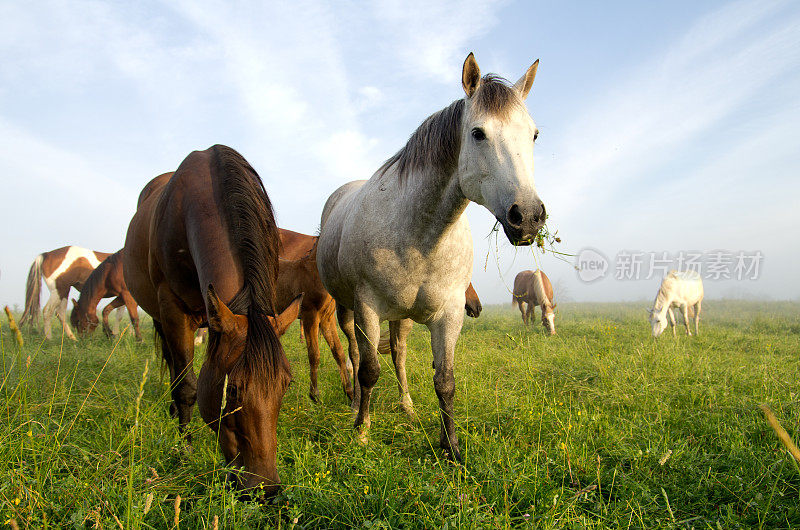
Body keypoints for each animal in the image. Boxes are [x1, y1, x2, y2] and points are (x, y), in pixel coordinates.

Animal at [126, 146, 296, 492]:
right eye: (232, 391)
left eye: (286, 385)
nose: (265, 489)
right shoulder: (173, 309)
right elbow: (186, 387)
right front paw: (185, 451)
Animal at [278, 227, 354, 400]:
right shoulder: (310, 316)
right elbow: (314, 353)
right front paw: (314, 394)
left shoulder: (327, 319)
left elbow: (338, 351)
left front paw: (349, 392)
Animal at [316, 51, 548, 460]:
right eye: (478, 133)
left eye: (533, 134)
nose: (529, 216)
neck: (420, 235)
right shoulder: (367, 308)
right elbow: (369, 370)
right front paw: (362, 431)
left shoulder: (449, 314)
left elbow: (445, 380)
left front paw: (451, 446)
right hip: (347, 309)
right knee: (357, 356)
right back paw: (357, 405)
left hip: (402, 318)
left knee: (399, 354)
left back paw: (406, 407)